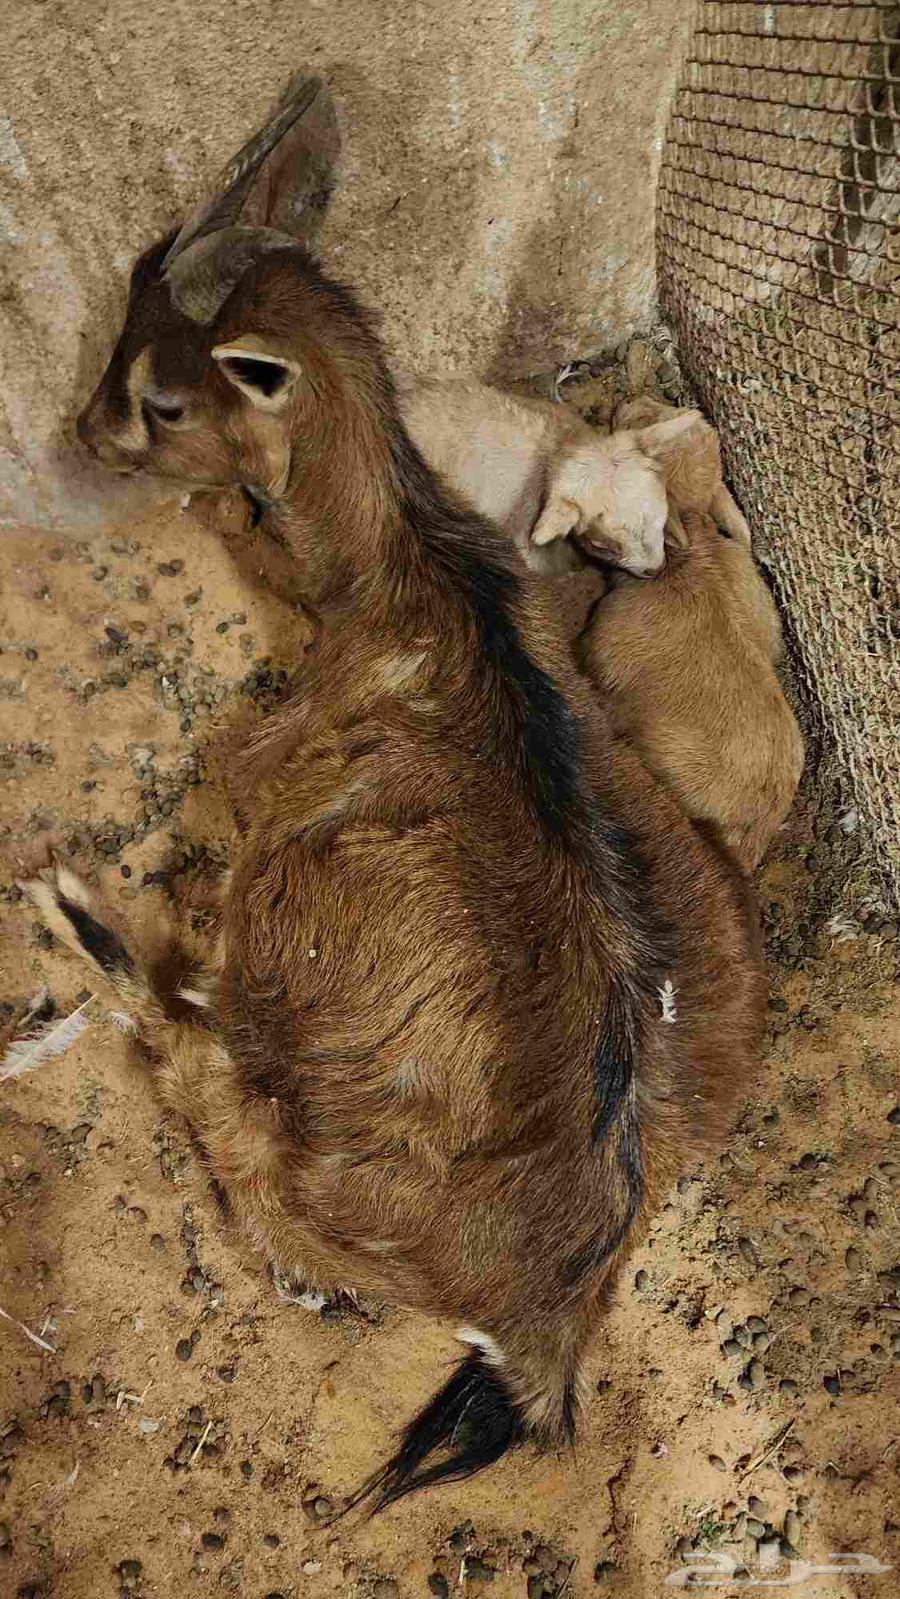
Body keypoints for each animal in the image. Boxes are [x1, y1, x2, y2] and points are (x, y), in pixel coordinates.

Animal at [56, 74, 765, 1511]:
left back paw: (79, 918)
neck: (415, 585)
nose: (84, 432)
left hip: (279, 1136)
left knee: (200, 1085)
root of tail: (547, 1323)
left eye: (163, 398)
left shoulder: (260, 792)